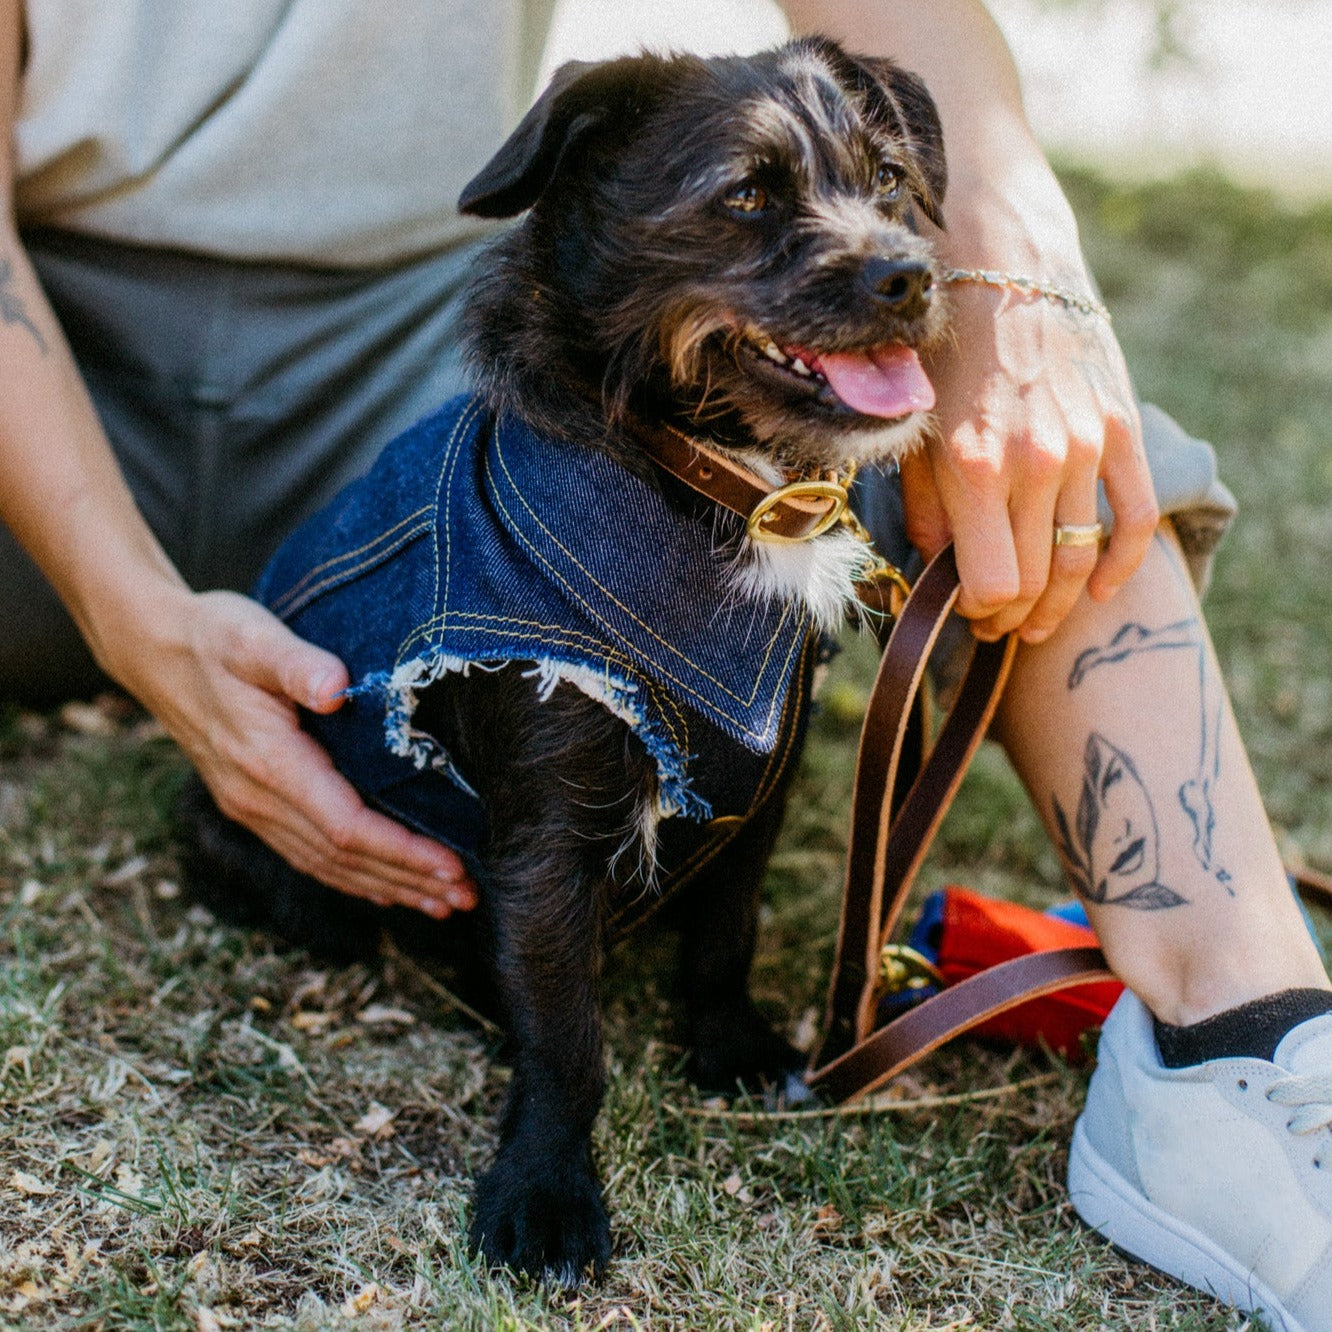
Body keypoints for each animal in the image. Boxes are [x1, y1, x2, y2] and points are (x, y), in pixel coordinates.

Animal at [182, 36, 953, 1284]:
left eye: (888, 178)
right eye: (746, 194)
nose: (912, 279)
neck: (701, 481)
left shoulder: (761, 785)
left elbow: (726, 936)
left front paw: (729, 1047)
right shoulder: (545, 839)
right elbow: (566, 1038)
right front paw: (544, 1192)